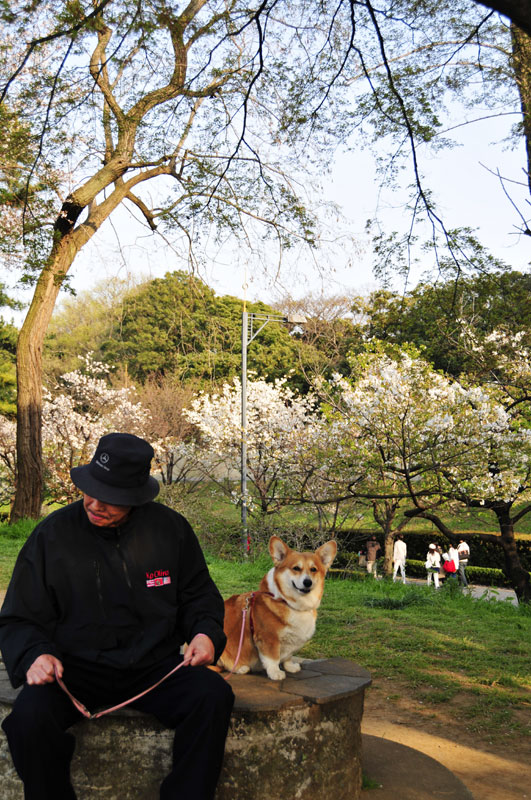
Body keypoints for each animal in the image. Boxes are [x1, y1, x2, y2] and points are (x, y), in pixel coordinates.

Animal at [219, 536, 336, 680]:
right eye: (296, 568)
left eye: (313, 569)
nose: (307, 582)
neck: (287, 602)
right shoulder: (268, 639)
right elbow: (272, 658)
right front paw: (275, 673)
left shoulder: (290, 643)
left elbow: (288, 656)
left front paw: (290, 667)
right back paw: (240, 668)